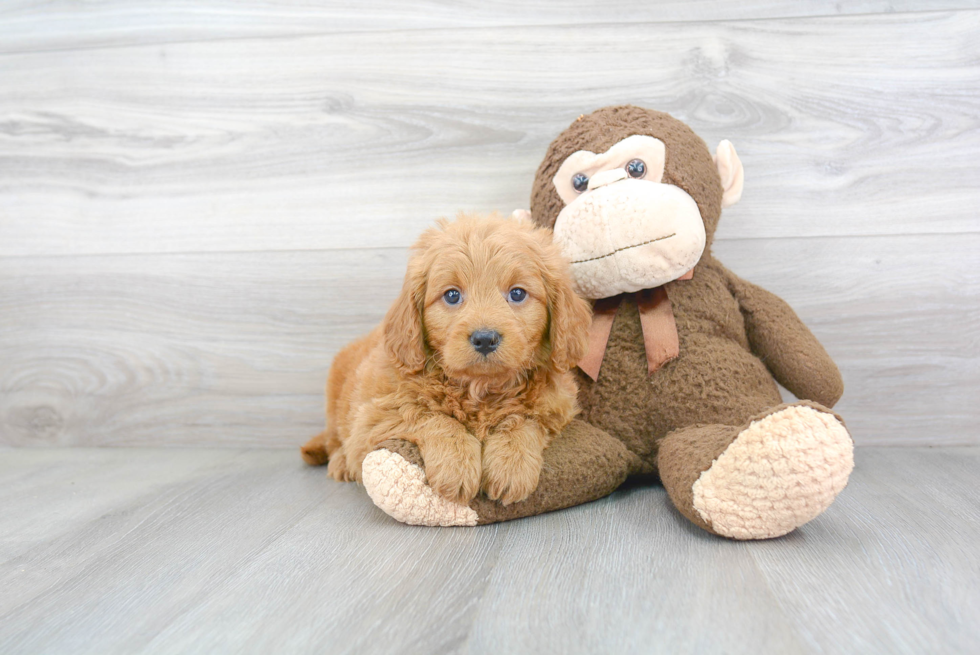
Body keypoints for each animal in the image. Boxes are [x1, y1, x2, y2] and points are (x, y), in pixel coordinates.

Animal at [300, 215, 588, 508]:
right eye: (452, 295)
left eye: (517, 294)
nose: (485, 339)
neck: (479, 390)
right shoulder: (374, 417)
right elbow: (430, 416)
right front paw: (456, 466)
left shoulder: (558, 407)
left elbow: (525, 419)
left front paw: (511, 465)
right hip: (336, 399)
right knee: (335, 440)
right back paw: (340, 463)